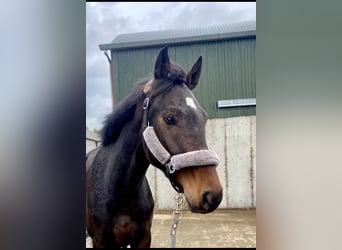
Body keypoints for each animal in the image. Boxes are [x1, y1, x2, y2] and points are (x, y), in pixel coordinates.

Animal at [87, 47, 223, 248]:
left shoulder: (144, 237)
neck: (121, 192)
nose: (212, 195)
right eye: (169, 118)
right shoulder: (99, 241)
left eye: (204, 118)